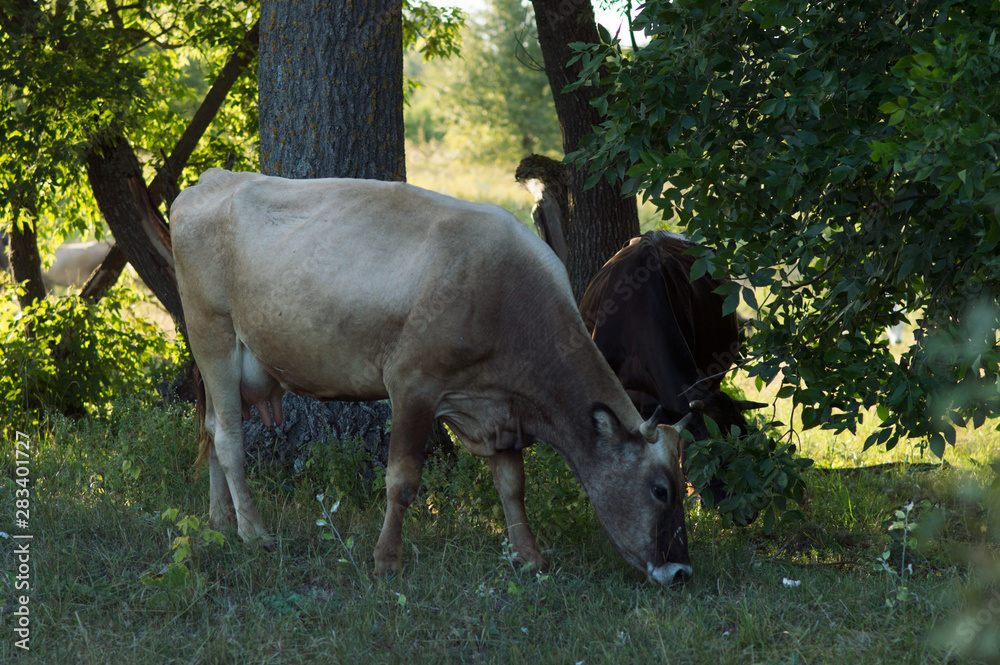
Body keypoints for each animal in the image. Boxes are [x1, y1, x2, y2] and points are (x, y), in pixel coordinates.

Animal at [170, 169, 696, 585]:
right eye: (660, 490)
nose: (681, 571)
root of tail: (211, 178)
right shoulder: (412, 384)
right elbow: (402, 481)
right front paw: (386, 561)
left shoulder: (498, 407)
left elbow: (512, 485)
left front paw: (529, 557)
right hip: (212, 334)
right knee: (229, 438)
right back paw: (253, 531)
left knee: (213, 430)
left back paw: (220, 523)